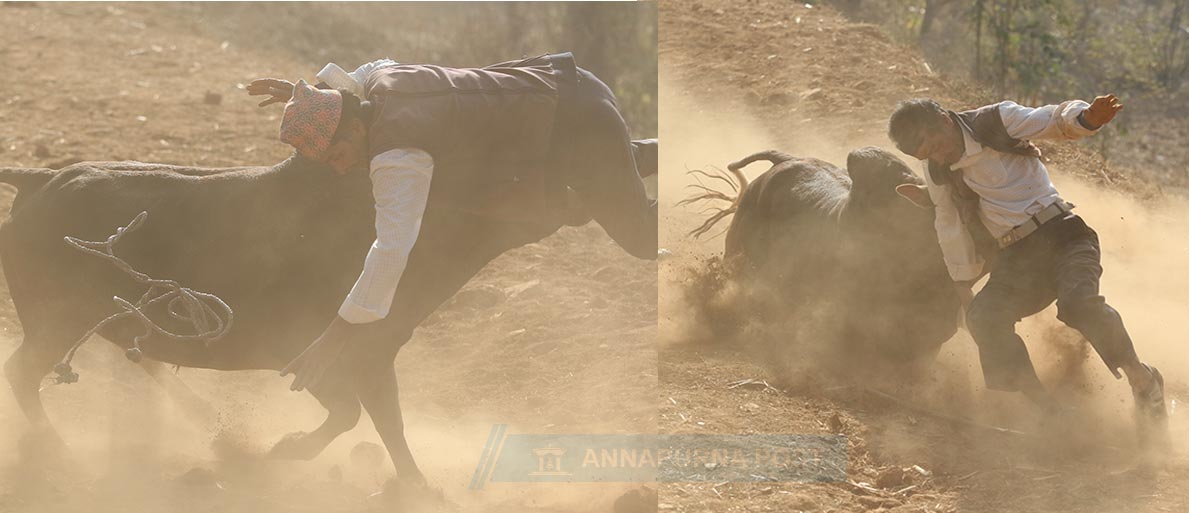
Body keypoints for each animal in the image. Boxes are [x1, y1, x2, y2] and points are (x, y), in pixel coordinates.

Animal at [0, 139, 657, 486]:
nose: (643, 153)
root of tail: (39, 178)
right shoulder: (320, 357)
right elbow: (355, 417)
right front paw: (283, 450)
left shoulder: (374, 356)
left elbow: (385, 422)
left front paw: (414, 485)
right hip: (56, 321)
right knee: (24, 373)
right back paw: (60, 451)